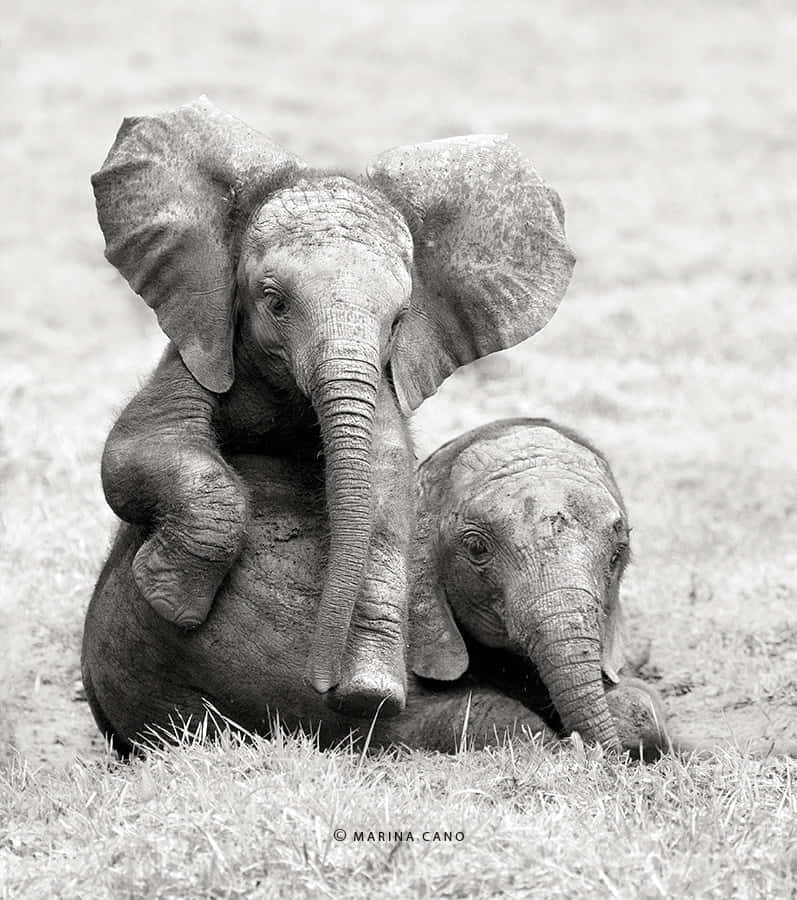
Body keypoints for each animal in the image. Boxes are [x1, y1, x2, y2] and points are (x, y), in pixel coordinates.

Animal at [91, 97, 575, 716]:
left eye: (398, 320)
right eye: (274, 302)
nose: (321, 684)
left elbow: (387, 488)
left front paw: (369, 693)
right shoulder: (205, 346)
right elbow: (133, 451)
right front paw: (168, 599)